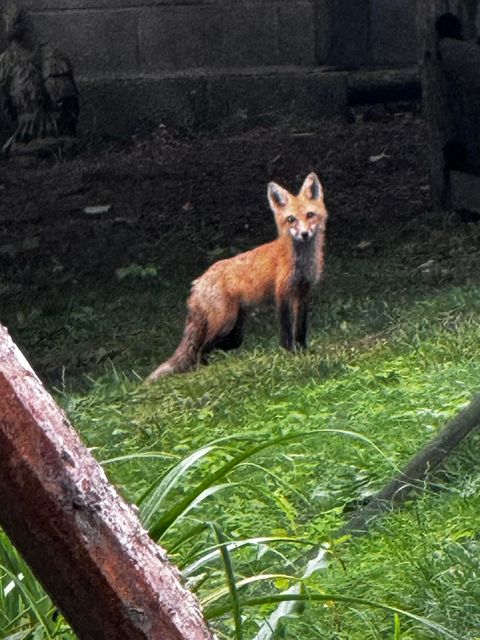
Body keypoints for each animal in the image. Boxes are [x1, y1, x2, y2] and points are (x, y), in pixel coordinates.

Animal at [144, 171, 328, 380]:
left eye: (310, 215)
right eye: (291, 219)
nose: (304, 234)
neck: (300, 260)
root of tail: (197, 282)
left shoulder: (303, 293)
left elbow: (300, 330)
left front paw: (303, 352)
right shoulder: (282, 294)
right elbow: (286, 331)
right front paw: (289, 354)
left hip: (235, 329)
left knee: (214, 347)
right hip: (225, 322)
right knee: (200, 349)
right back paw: (204, 372)